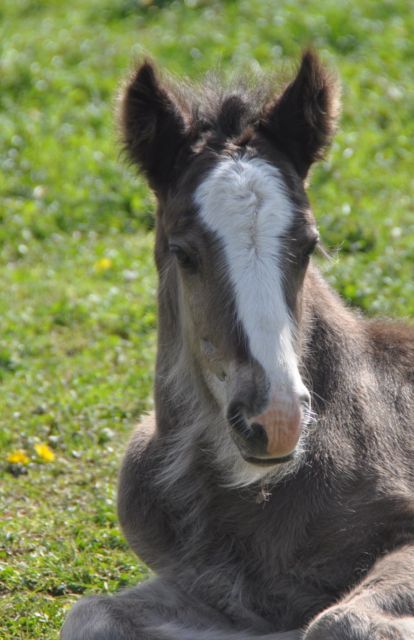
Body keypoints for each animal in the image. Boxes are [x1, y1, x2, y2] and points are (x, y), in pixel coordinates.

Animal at [60, 51, 414, 640]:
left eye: (309, 244)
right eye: (184, 253)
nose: (275, 420)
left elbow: (337, 620)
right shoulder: (207, 587)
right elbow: (90, 614)